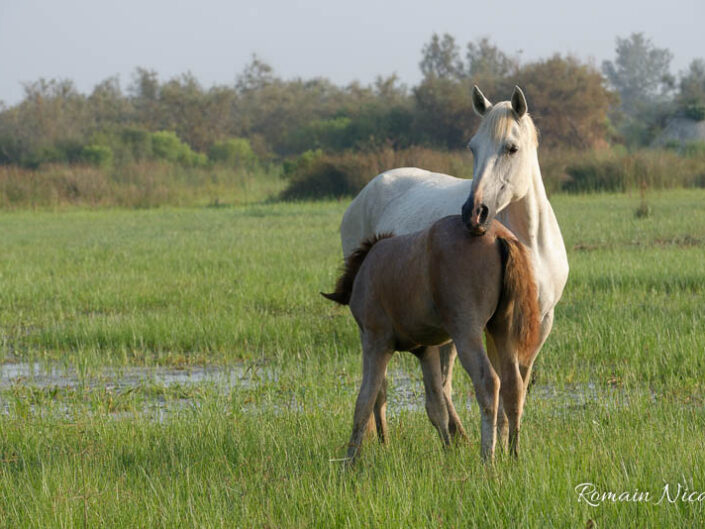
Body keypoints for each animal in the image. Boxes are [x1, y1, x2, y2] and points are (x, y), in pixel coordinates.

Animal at [338, 85, 568, 446]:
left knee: (441, 384)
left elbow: (516, 386)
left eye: (512, 148)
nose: (474, 213)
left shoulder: (539, 323)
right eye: (473, 147)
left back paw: (456, 435)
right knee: (387, 387)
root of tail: (369, 188)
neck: (530, 241)